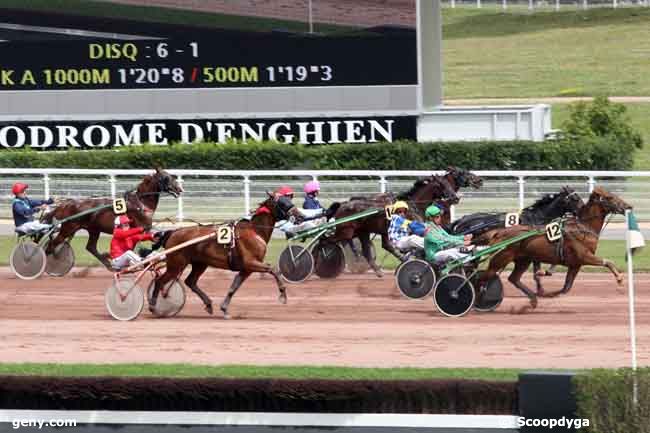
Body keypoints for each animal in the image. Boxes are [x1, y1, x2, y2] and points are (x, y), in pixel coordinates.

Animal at [41, 168, 182, 266]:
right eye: (166, 178)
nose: (180, 189)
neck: (140, 203)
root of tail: (65, 204)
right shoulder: (140, 228)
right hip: (68, 228)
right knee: (53, 244)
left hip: (93, 229)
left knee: (90, 247)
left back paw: (108, 264)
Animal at [150, 192, 302, 318]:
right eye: (282, 203)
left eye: (289, 200)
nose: (301, 216)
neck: (255, 231)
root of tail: (173, 232)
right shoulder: (251, 263)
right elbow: (273, 269)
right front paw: (283, 294)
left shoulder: (247, 269)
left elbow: (234, 287)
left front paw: (224, 309)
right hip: (176, 264)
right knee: (160, 281)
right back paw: (154, 305)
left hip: (200, 263)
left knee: (190, 281)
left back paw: (208, 304)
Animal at [474, 187, 632, 308]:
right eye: (610, 197)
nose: (628, 206)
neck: (583, 228)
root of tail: (500, 232)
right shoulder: (584, 256)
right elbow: (608, 262)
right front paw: (619, 278)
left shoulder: (575, 265)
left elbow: (565, 288)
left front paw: (546, 289)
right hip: (501, 258)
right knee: (481, 278)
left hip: (523, 260)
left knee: (513, 278)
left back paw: (533, 299)